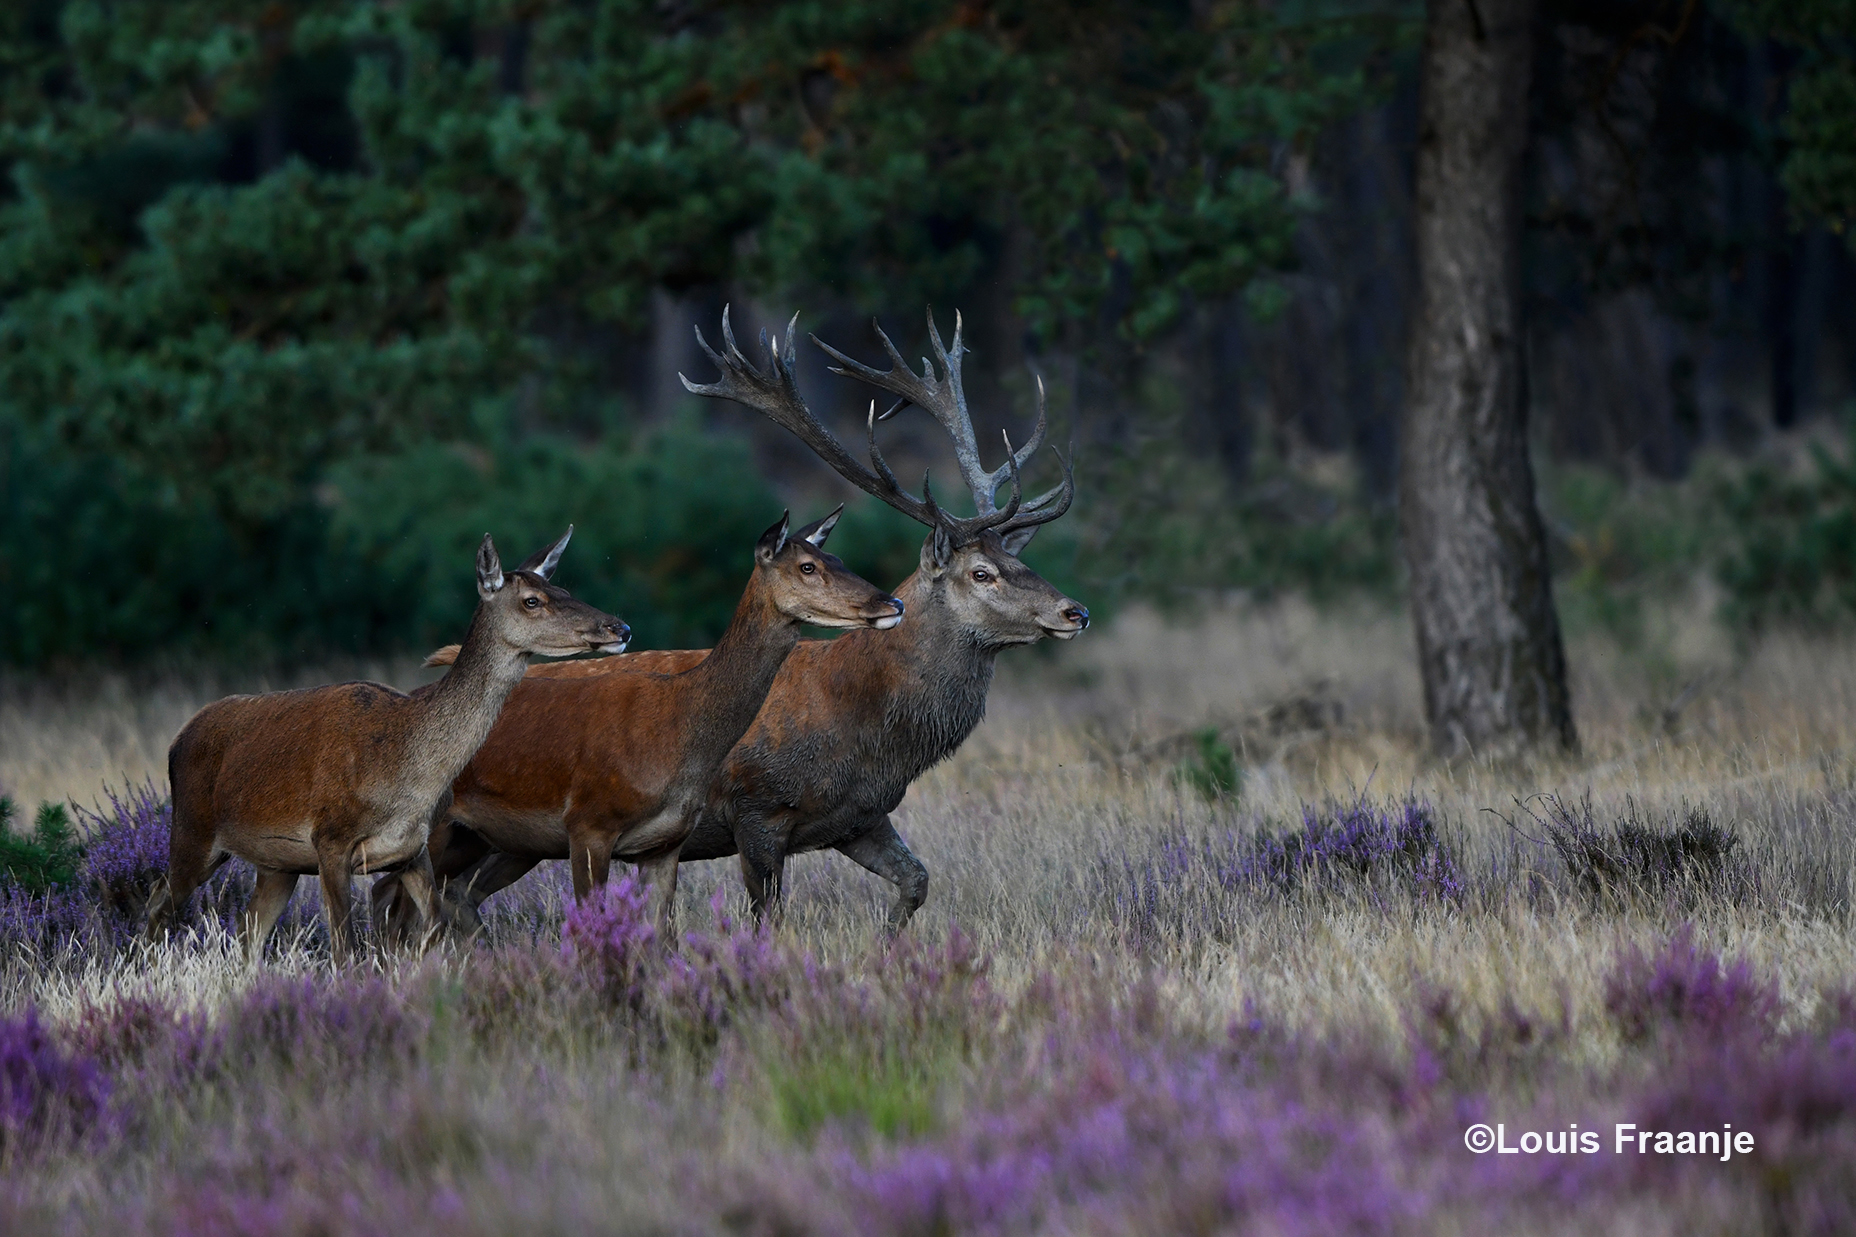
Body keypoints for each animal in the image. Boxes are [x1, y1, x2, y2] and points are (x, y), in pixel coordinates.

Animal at [148, 523, 627, 958]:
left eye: (562, 587)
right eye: (532, 600)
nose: (618, 627)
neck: (406, 774)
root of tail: (176, 740)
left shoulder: (413, 850)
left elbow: (433, 930)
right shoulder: (331, 839)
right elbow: (345, 948)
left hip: (276, 864)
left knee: (246, 935)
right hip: (192, 832)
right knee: (157, 903)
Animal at [371, 505, 905, 928]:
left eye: (838, 560)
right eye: (808, 566)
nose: (892, 602)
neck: (678, 730)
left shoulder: (665, 843)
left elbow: (662, 937)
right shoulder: (589, 823)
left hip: (479, 839)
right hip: (434, 827)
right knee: (392, 895)